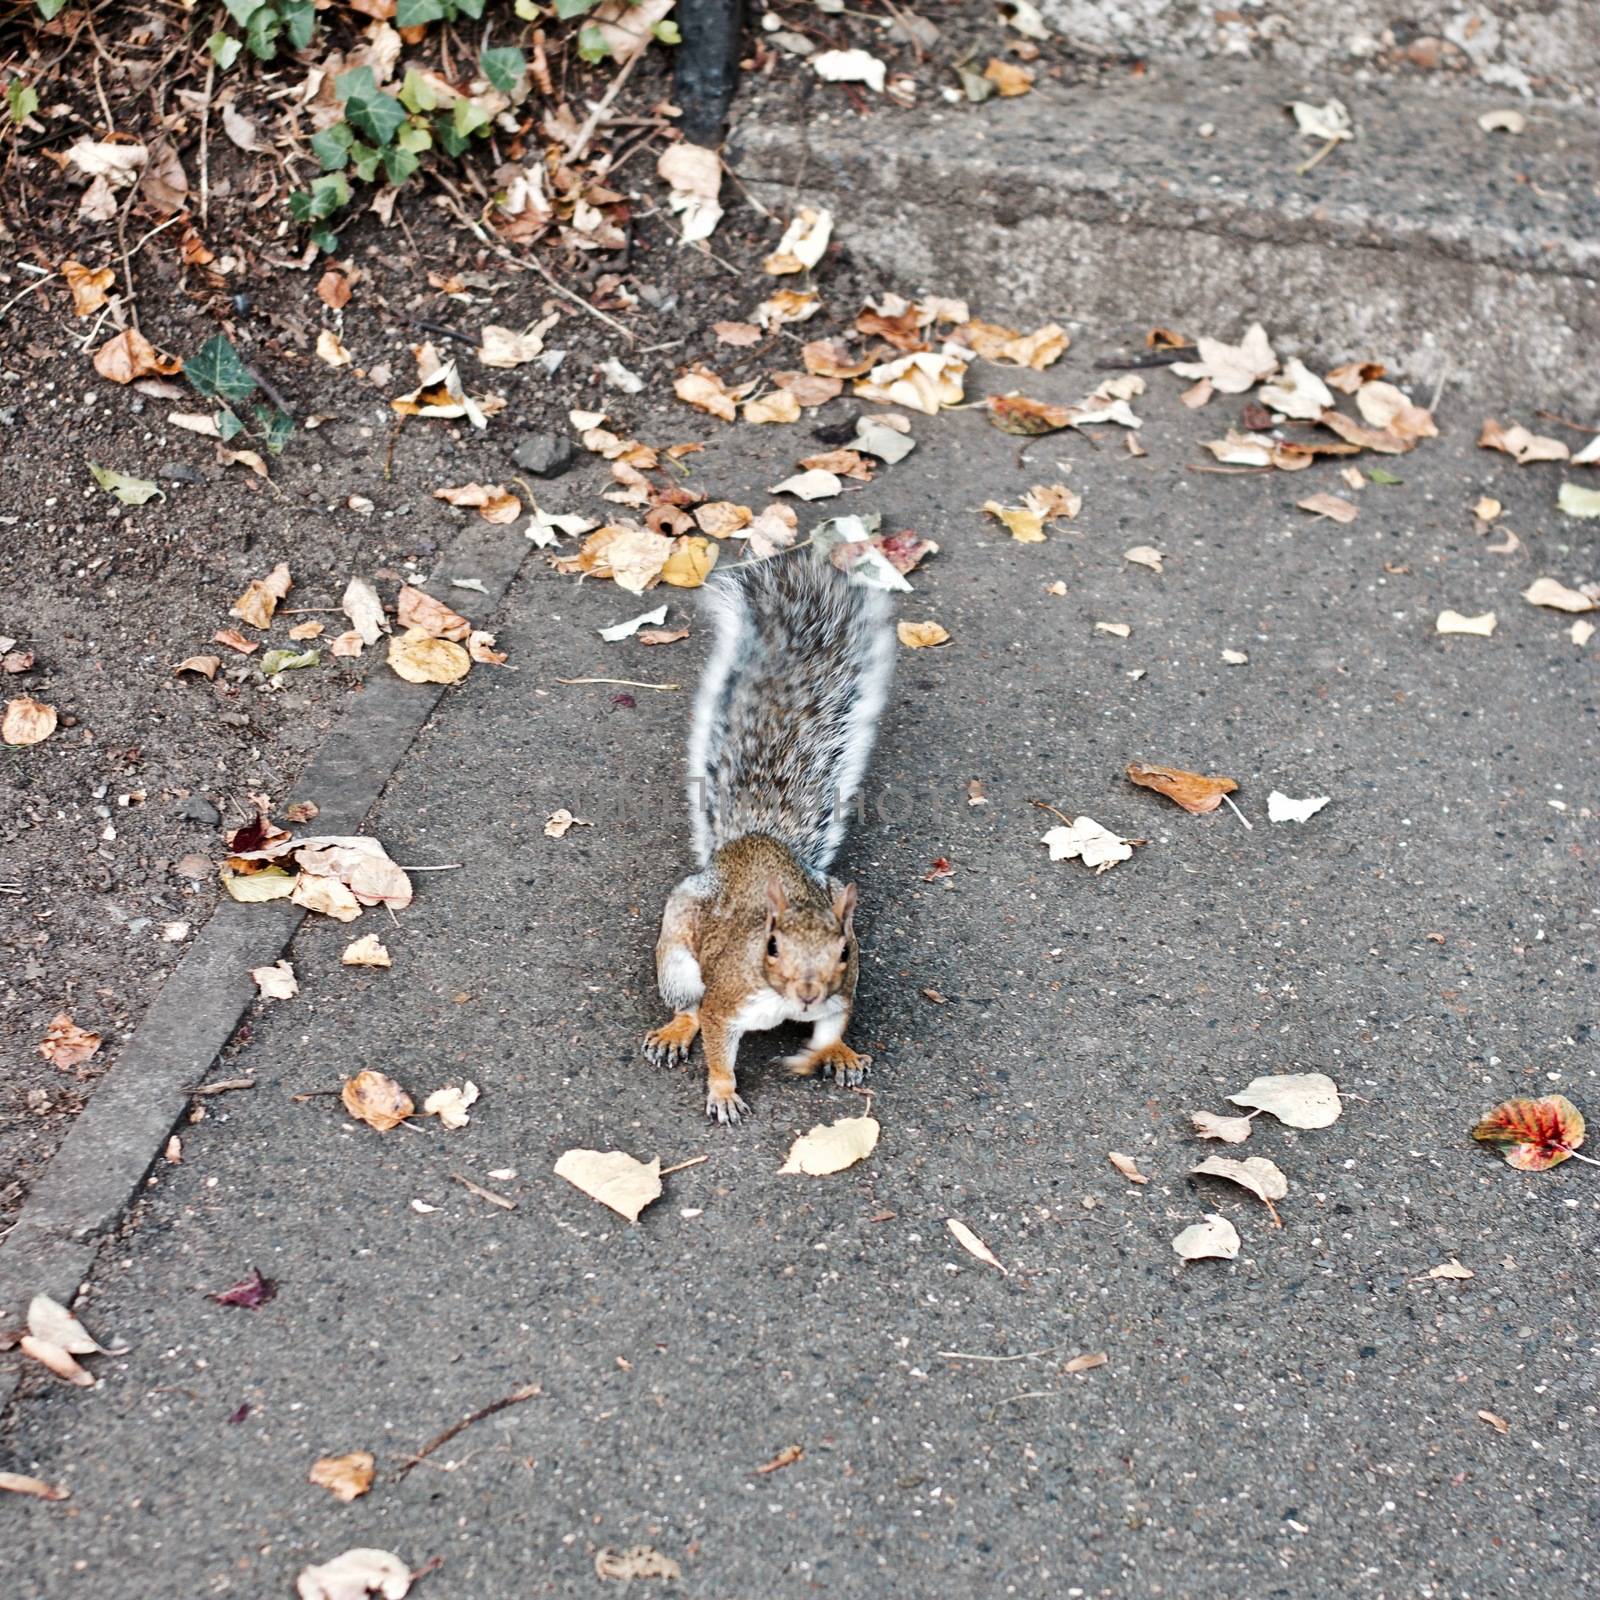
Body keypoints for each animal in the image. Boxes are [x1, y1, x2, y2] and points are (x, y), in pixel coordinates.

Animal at [649, 550, 902, 1126]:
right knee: (687, 1001)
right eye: (771, 946)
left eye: (844, 950)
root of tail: (754, 841)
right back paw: (675, 1029)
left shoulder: (842, 992)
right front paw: (723, 1092)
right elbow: (716, 1040)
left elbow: (833, 1027)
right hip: (678, 951)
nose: (808, 991)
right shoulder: (728, 1001)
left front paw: (836, 1052)